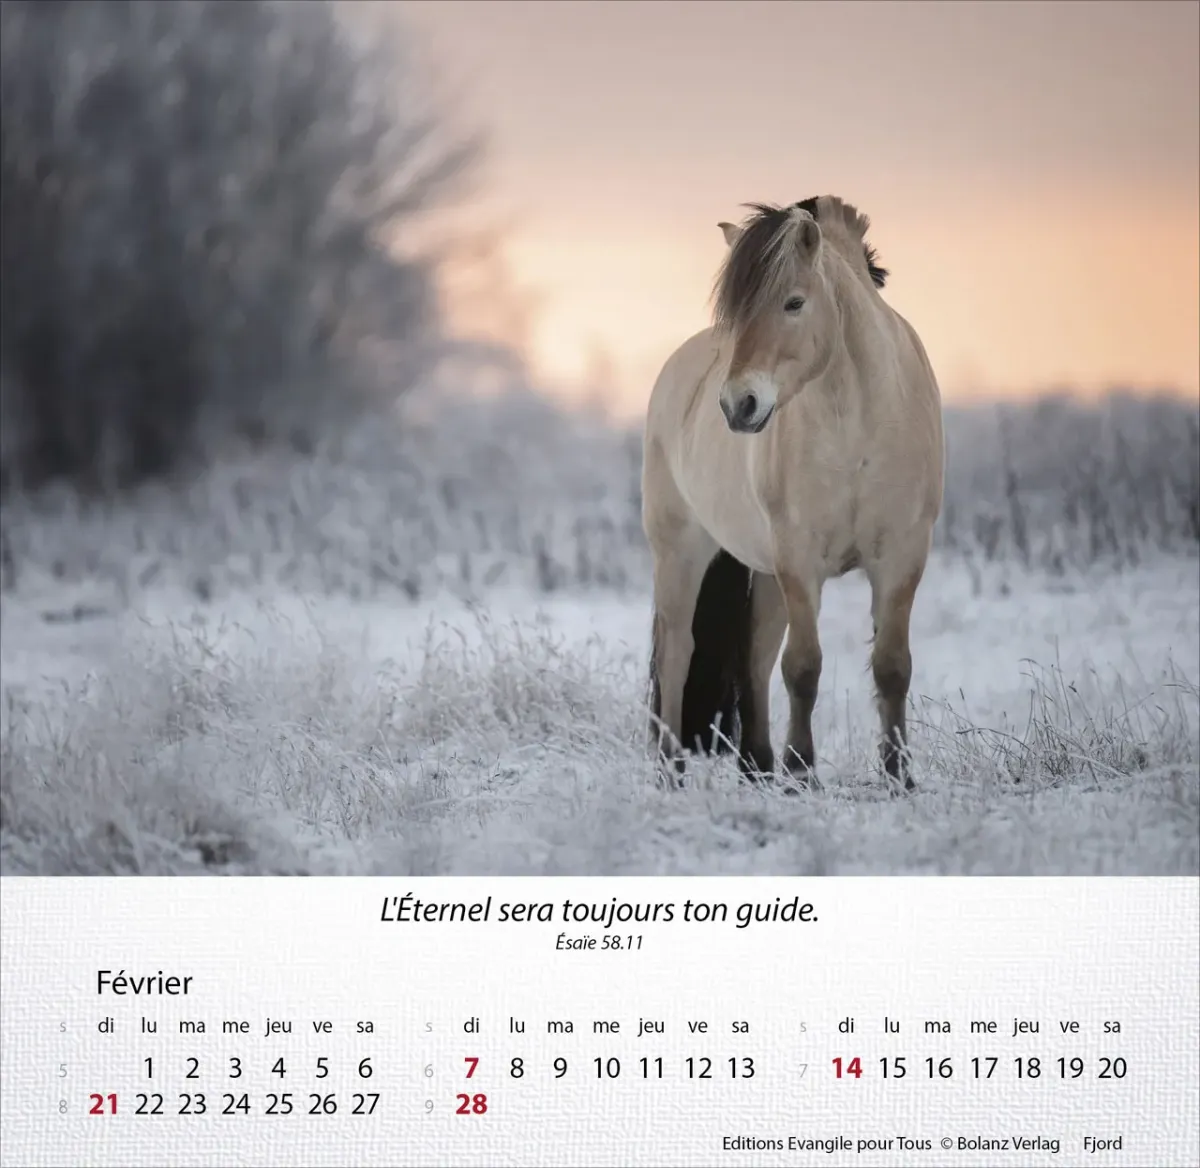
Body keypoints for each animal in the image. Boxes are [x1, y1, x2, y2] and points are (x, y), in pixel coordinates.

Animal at [642, 196, 944, 791]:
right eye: (735, 314)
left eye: (794, 303)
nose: (738, 404)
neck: (856, 423)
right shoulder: (800, 560)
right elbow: (803, 667)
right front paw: (802, 770)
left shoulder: (901, 556)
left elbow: (892, 666)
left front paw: (898, 775)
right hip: (682, 553)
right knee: (678, 652)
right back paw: (672, 769)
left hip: (764, 573)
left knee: (754, 656)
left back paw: (757, 765)